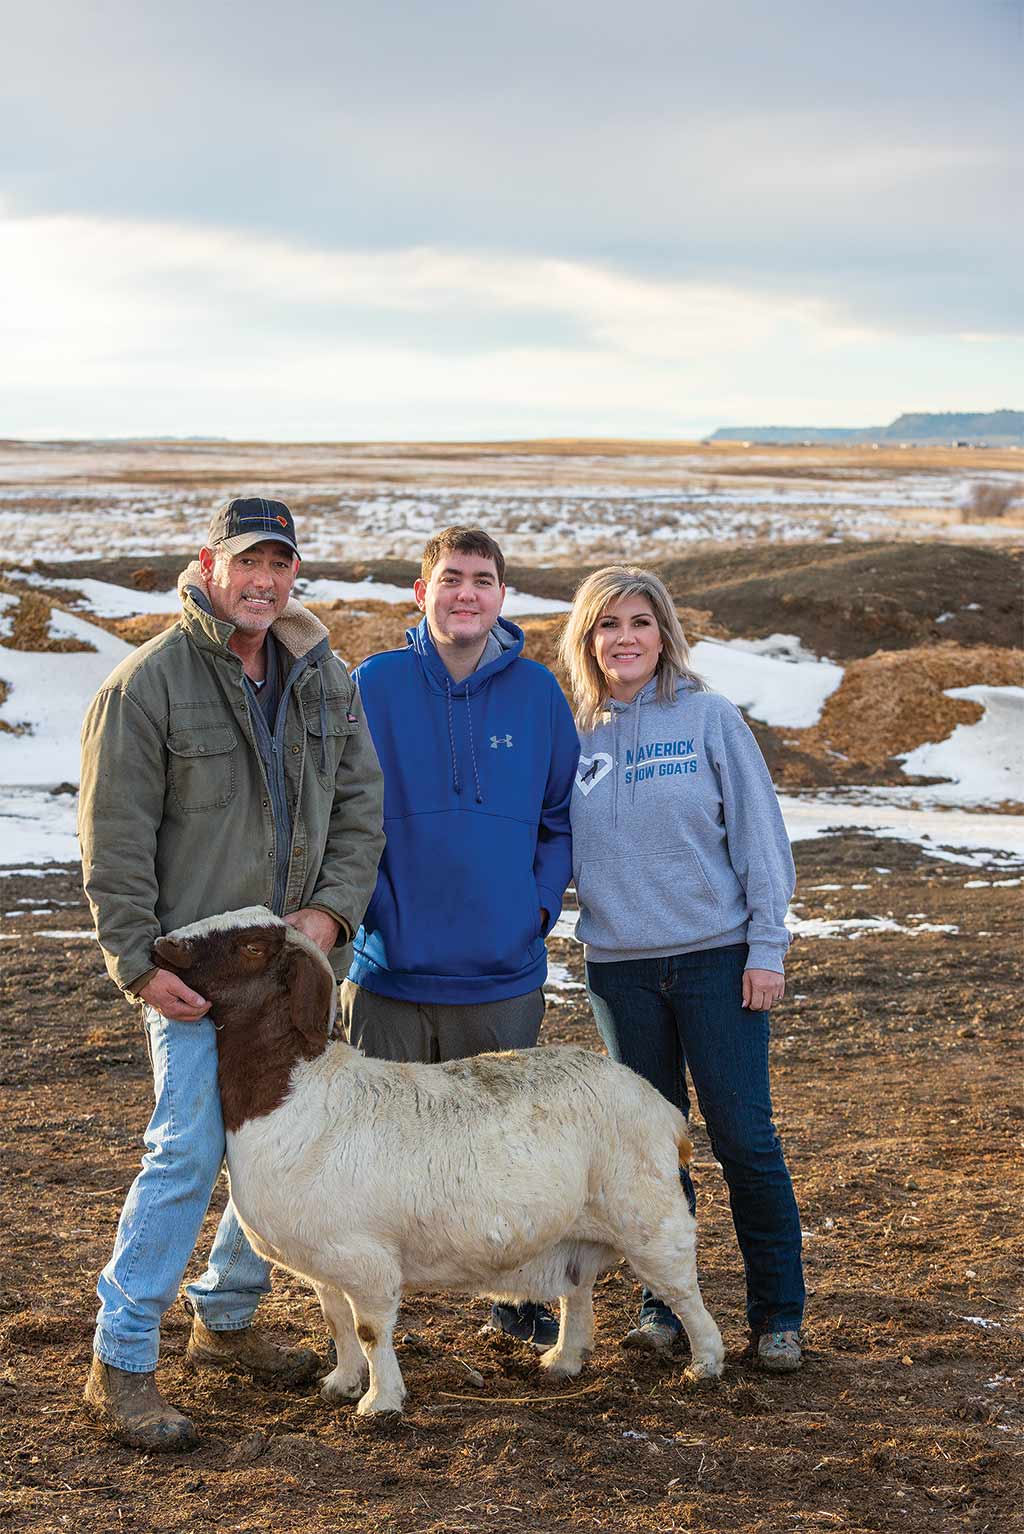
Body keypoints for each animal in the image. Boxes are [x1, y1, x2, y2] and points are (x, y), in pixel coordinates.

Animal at [154, 901, 726, 1417]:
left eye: (252, 948)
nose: (163, 944)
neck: (295, 1091)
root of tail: (663, 1110)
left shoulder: (367, 1260)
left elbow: (368, 1330)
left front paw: (380, 1403)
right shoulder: (323, 1262)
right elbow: (336, 1322)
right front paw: (341, 1383)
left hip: (649, 1215)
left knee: (683, 1291)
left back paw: (705, 1364)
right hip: (577, 1228)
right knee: (577, 1289)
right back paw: (564, 1360)